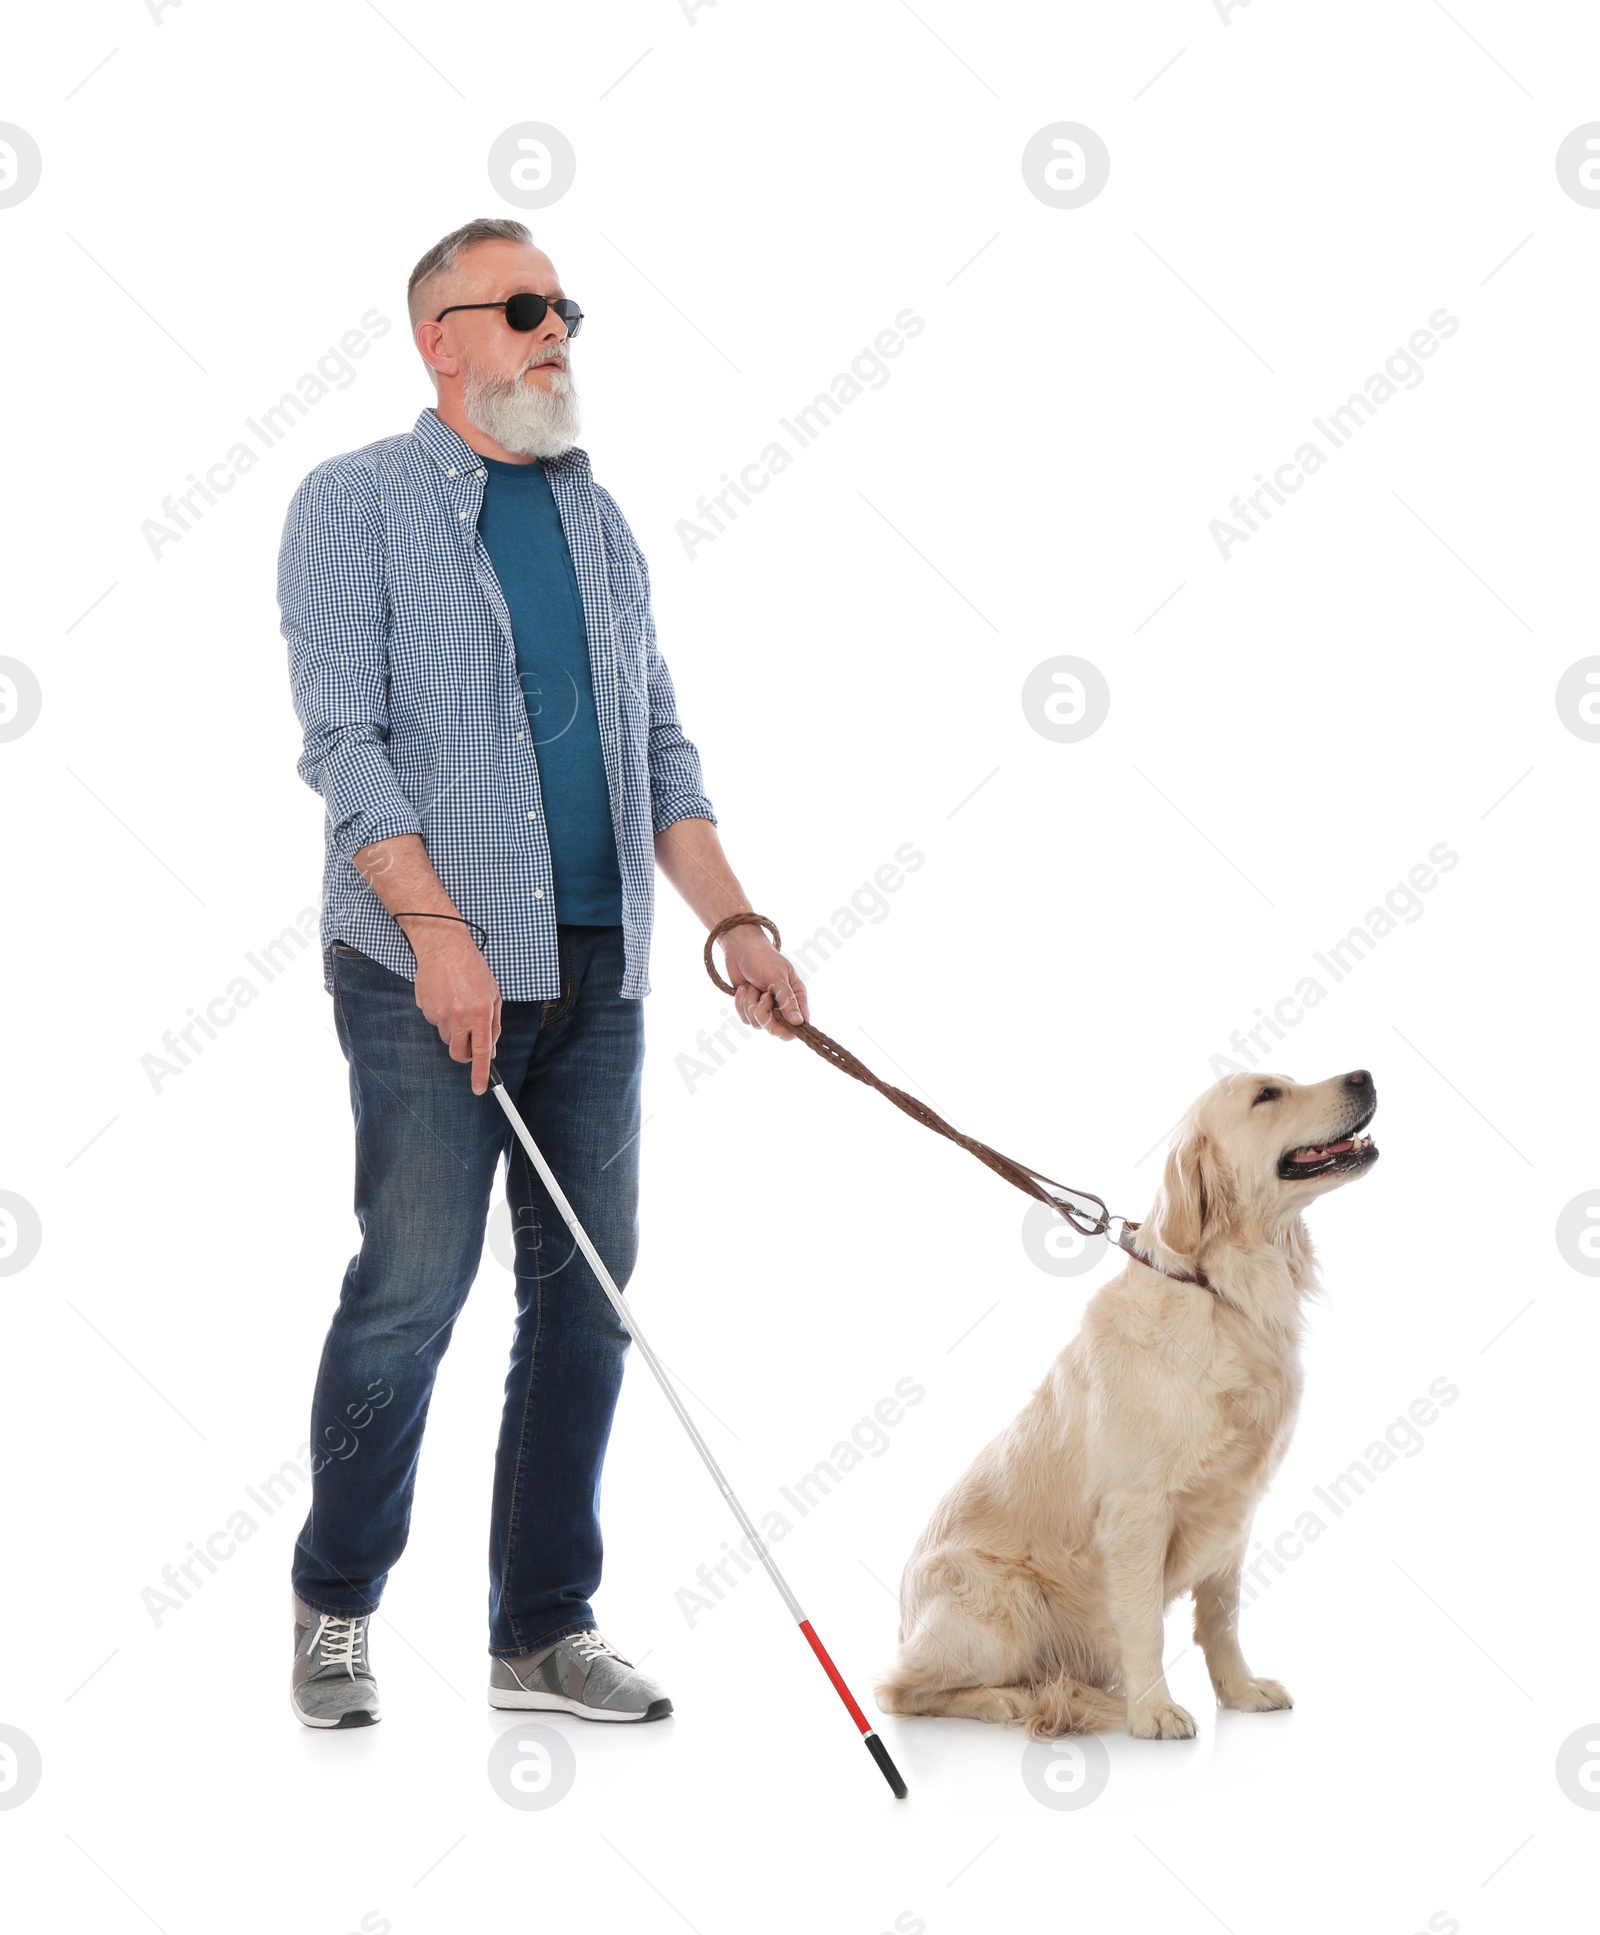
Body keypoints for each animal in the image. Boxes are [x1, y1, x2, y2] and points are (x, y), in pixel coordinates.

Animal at [870, 1068, 1385, 1749]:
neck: (1221, 1291)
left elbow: (1222, 1620)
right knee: (898, 1690)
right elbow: (1145, 1624)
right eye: (1267, 1096)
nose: (1365, 1075)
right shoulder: (1138, 1509)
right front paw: (1154, 1712)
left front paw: (1240, 1691)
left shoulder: (1233, 1510)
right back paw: (1006, 1700)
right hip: (1000, 1598)